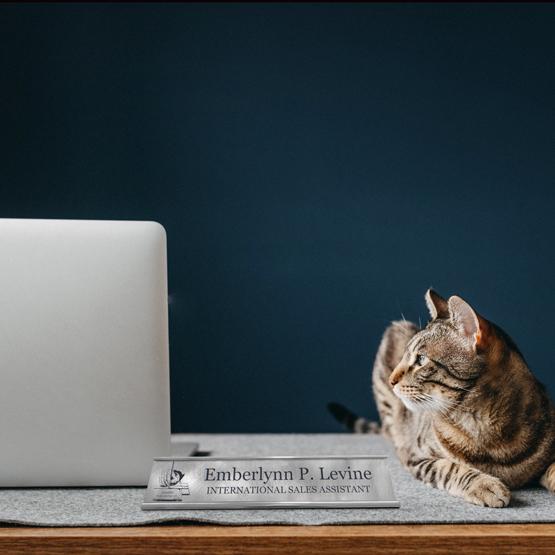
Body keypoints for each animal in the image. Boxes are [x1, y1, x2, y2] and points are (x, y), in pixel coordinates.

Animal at [330, 292, 555, 508]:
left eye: (421, 359)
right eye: (406, 356)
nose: (391, 380)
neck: (485, 429)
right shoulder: (417, 456)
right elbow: (451, 468)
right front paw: (484, 485)